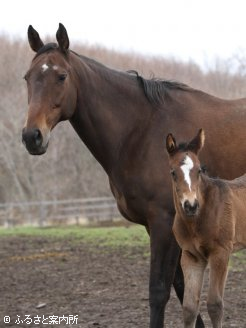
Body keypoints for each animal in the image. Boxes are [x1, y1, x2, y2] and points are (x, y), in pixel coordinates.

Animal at [165, 130, 246, 328]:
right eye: (173, 172)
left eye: (199, 170)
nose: (191, 205)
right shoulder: (191, 256)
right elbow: (189, 308)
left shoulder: (220, 252)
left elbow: (215, 305)